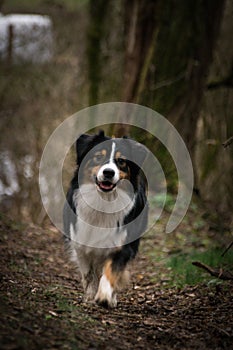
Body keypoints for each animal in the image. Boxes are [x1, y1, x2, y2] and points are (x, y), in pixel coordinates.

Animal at [62, 131, 148, 306]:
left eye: (121, 161)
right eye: (98, 157)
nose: (109, 172)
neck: (103, 200)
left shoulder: (122, 245)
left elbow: (111, 270)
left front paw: (105, 295)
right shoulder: (81, 244)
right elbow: (89, 274)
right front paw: (90, 296)